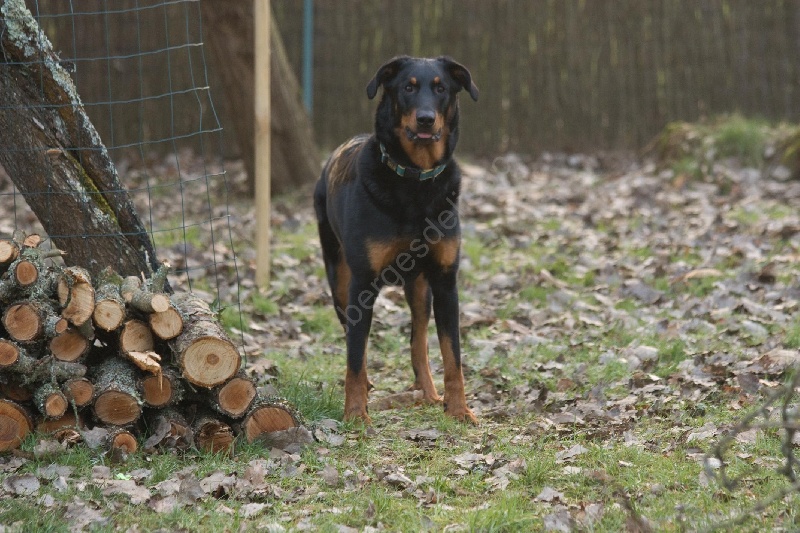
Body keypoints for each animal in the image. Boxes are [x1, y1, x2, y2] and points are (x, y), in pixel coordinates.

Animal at [310, 55, 476, 424]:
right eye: (408, 88)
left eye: (441, 88)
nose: (426, 118)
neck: (416, 181)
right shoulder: (362, 283)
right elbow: (355, 357)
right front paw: (356, 414)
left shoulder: (445, 281)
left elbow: (452, 355)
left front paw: (459, 409)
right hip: (338, 277)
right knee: (352, 336)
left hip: (419, 287)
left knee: (418, 342)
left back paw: (427, 392)